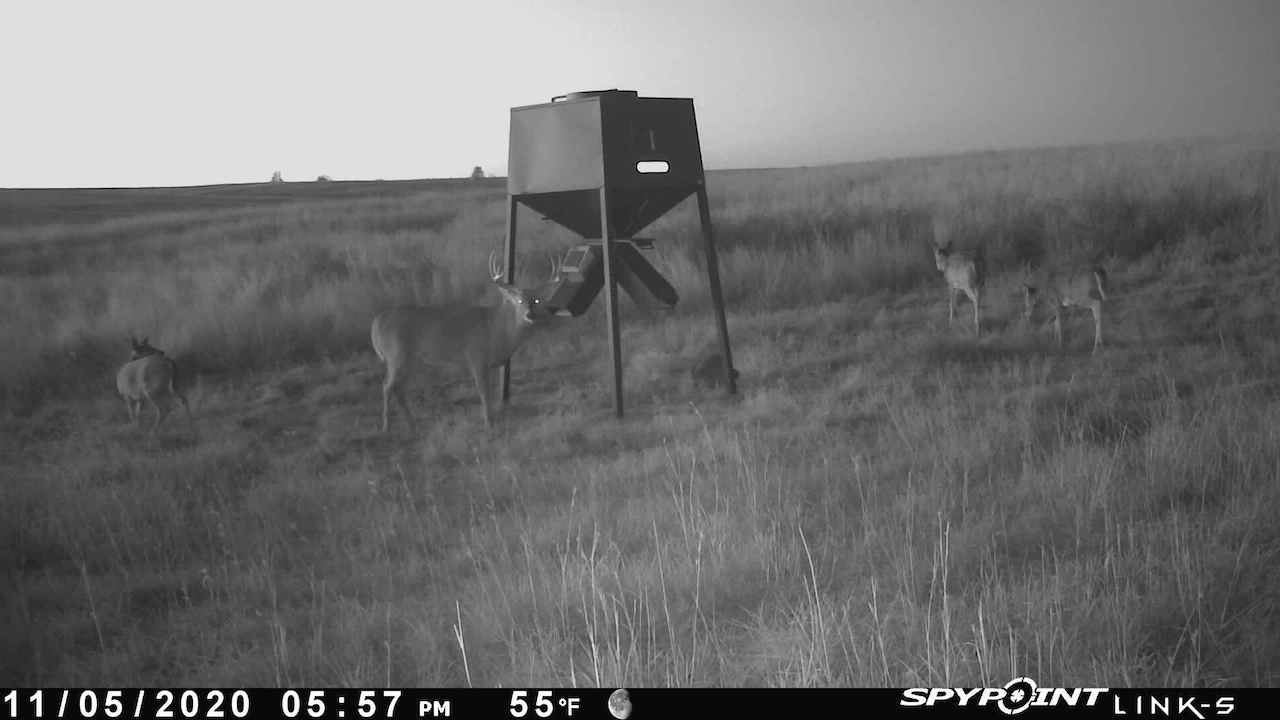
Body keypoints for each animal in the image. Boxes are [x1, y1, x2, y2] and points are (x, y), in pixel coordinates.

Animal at [370, 252, 560, 432]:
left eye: (536, 300)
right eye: (520, 301)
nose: (529, 314)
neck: (496, 328)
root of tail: (376, 323)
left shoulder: (489, 364)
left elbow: (490, 392)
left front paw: (492, 419)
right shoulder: (476, 357)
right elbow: (484, 393)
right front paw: (489, 423)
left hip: (411, 359)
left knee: (398, 388)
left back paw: (412, 425)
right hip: (396, 355)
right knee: (387, 386)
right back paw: (386, 426)